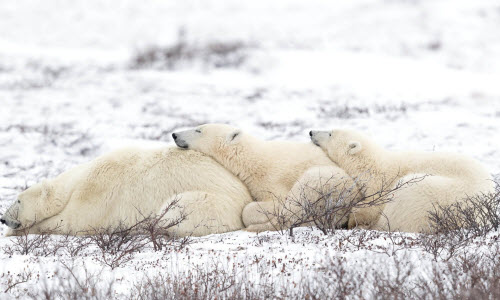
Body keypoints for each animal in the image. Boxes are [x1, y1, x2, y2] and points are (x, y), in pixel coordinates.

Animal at [0, 147, 254, 237]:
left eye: (18, 200)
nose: (3, 219)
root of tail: (246, 197)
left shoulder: (97, 191)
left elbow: (72, 222)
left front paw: (16, 232)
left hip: (212, 202)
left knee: (175, 211)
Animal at [172, 123, 360, 232]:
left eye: (198, 129)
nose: (174, 135)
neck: (254, 159)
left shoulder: (274, 178)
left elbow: (275, 204)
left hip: (328, 182)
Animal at [310, 128, 494, 232]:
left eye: (330, 133)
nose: (311, 132)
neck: (373, 165)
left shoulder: (381, 184)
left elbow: (371, 207)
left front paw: (353, 220)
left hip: (431, 195)